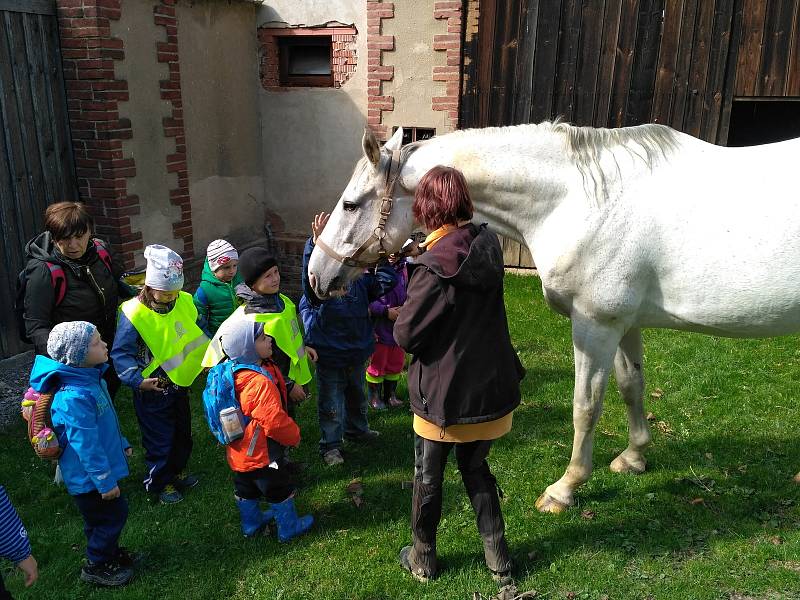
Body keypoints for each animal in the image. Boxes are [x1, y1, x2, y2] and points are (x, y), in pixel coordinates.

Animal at [306, 122, 800, 510]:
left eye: (350, 204)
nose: (316, 275)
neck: (582, 201)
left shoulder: (596, 325)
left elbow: (586, 405)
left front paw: (566, 488)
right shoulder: (625, 324)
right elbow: (631, 385)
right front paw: (634, 457)